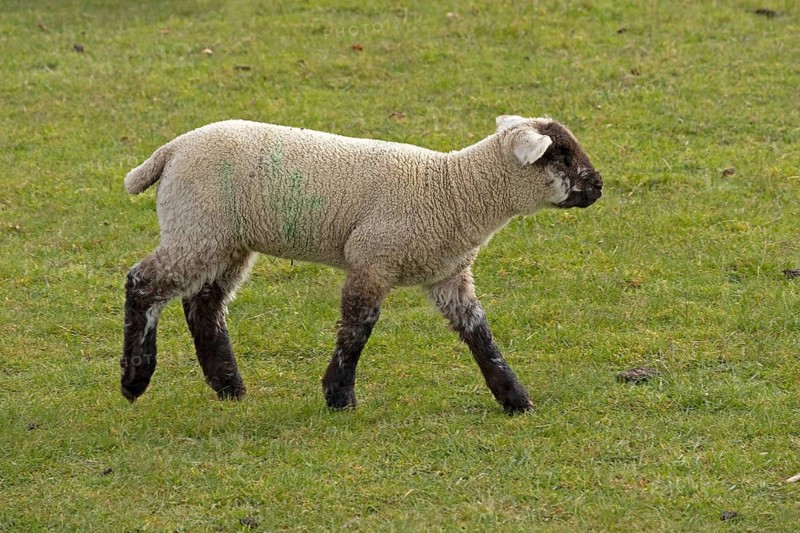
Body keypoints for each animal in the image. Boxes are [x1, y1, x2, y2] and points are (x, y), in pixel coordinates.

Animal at [121, 115, 603, 413]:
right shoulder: (373, 259)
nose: (598, 185)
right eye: (560, 155)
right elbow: (358, 327)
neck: (454, 191)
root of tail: (172, 150)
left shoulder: (449, 276)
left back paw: (228, 387)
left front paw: (515, 398)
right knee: (142, 283)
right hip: (197, 228)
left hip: (224, 240)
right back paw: (135, 378)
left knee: (204, 305)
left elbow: (478, 333)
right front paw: (339, 396)